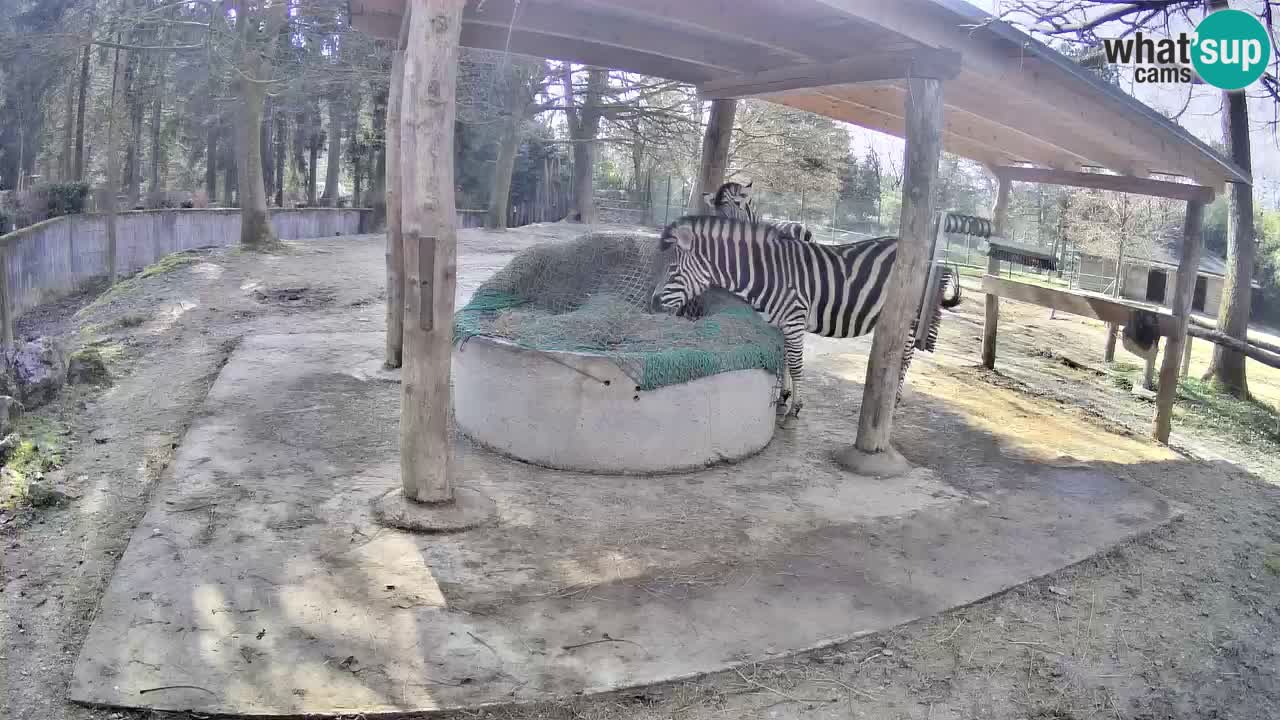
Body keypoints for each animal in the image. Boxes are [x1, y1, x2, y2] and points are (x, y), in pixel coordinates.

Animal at [652, 215, 961, 419]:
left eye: (672, 270)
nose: (652, 304)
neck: (768, 273)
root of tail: (926, 258)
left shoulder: (794, 319)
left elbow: (797, 364)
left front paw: (795, 406)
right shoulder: (780, 323)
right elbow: (786, 360)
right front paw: (783, 397)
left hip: (911, 319)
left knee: (905, 360)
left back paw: (893, 402)